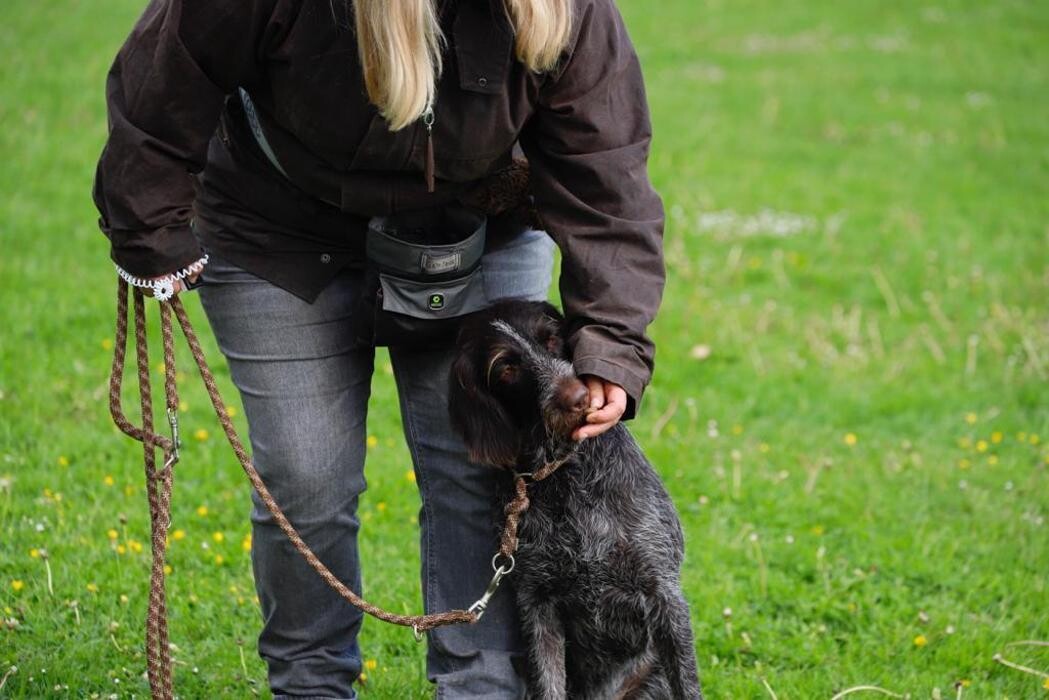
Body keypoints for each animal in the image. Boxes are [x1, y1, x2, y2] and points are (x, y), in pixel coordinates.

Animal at [446, 302, 700, 700]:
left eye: (551, 337)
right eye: (505, 368)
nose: (578, 398)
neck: (563, 475)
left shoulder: (662, 592)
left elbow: (686, 683)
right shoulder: (537, 603)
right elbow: (549, 681)